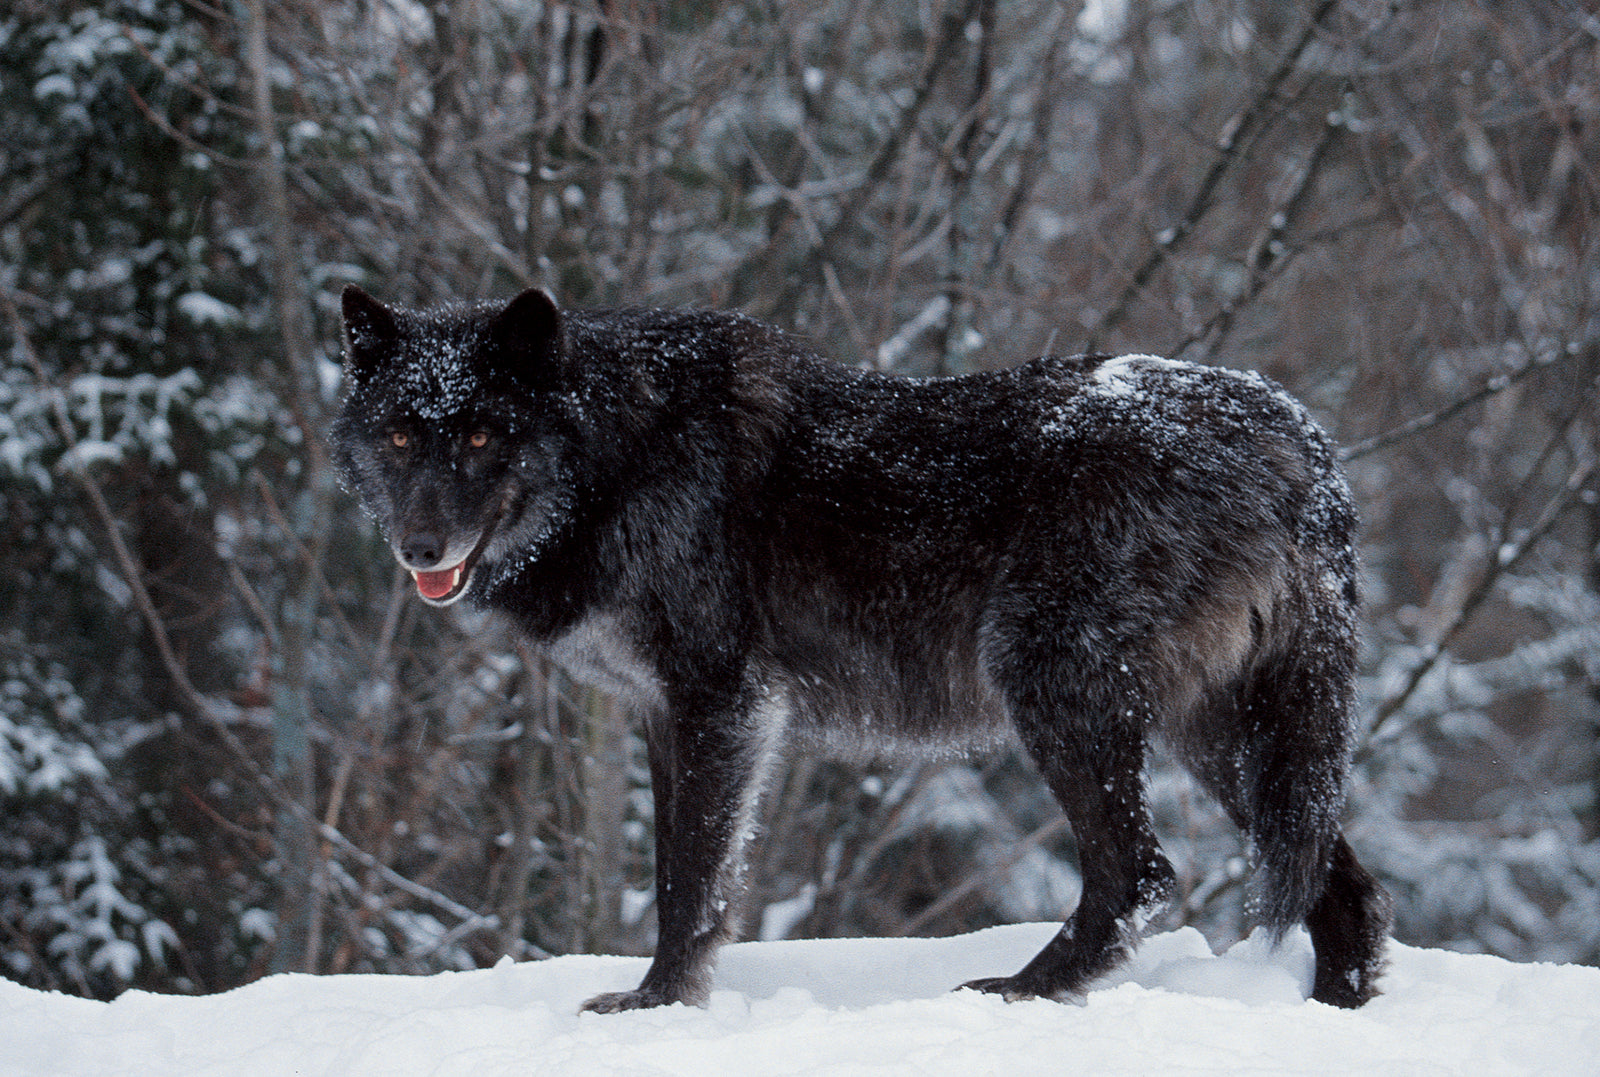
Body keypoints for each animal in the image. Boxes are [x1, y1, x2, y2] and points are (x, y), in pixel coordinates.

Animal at [330, 284, 1391, 1013]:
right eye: (401, 437)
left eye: (479, 436)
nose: (419, 548)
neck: (619, 455)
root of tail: (1294, 430)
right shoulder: (663, 713)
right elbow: (685, 869)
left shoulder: (720, 701)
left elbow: (690, 880)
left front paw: (658, 1006)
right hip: (1220, 734)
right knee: (1346, 890)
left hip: (1056, 687)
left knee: (1143, 873)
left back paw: (1019, 992)